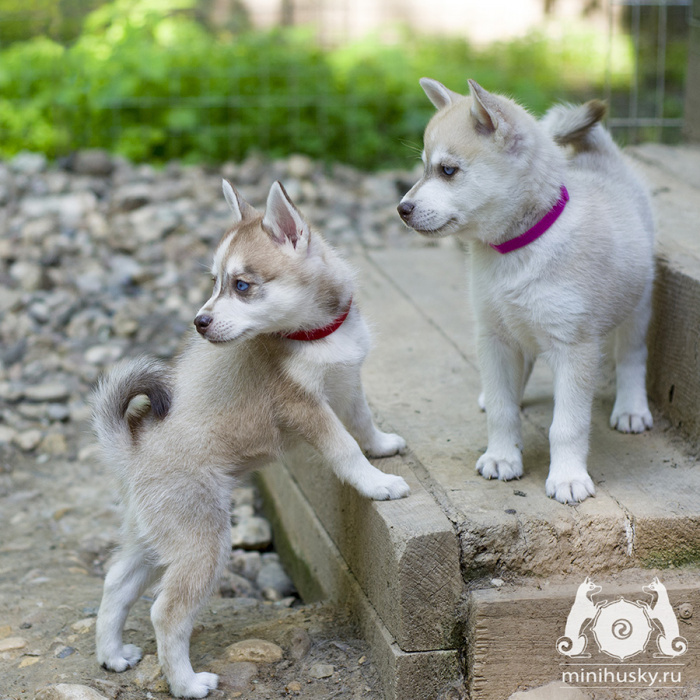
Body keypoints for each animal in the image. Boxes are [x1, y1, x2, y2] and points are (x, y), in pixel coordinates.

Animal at [93, 179, 410, 696]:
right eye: (215, 282)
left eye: (241, 285)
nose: (199, 322)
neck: (317, 334)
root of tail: (131, 446)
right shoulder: (306, 408)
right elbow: (344, 447)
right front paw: (376, 483)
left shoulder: (347, 384)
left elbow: (362, 423)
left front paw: (382, 447)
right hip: (204, 540)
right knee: (166, 612)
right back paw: (187, 683)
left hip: (155, 533)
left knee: (116, 581)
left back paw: (112, 654)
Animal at [400, 79, 656, 504]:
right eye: (424, 168)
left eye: (448, 170)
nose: (401, 209)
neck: (517, 250)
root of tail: (603, 159)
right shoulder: (494, 336)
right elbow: (502, 409)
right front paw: (502, 457)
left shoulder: (574, 348)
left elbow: (566, 424)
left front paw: (568, 477)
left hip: (637, 306)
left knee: (632, 357)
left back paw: (631, 408)